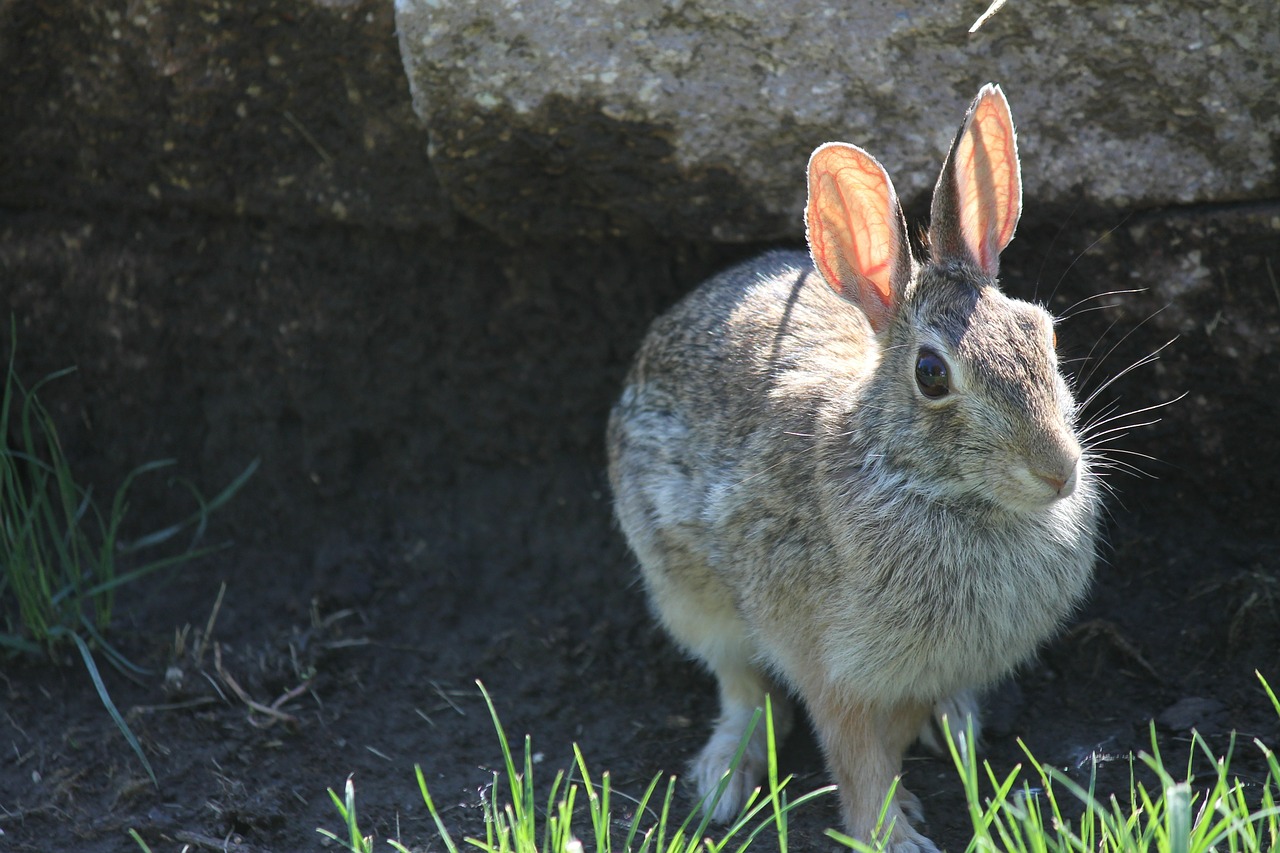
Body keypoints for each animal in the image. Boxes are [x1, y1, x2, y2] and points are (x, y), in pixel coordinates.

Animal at [606, 84, 1100, 850]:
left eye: (1043, 332)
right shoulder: (831, 666)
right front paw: (894, 834)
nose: (1057, 471)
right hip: (686, 590)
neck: (918, 478)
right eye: (931, 374)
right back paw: (723, 780)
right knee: (742, 686)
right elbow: (856, 756)